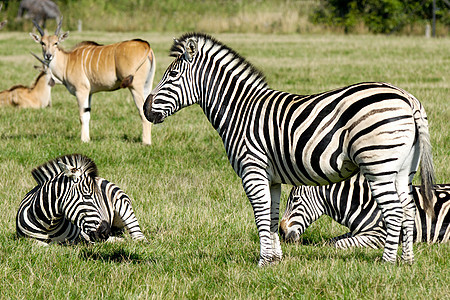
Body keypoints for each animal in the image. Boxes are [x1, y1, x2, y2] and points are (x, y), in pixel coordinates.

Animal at [15, 155, 146, 244]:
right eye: (87, 196)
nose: (105, 232)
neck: (49, 226)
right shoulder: (26, 240)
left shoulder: (85, 236)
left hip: (123, 205)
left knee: (138, 236)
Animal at [280, 173, 448, 248]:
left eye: (295, 200)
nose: (281, 232)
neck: (363, 203)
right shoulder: (357, 231)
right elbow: (331, 241)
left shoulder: (378, 236)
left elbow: (338, 244)